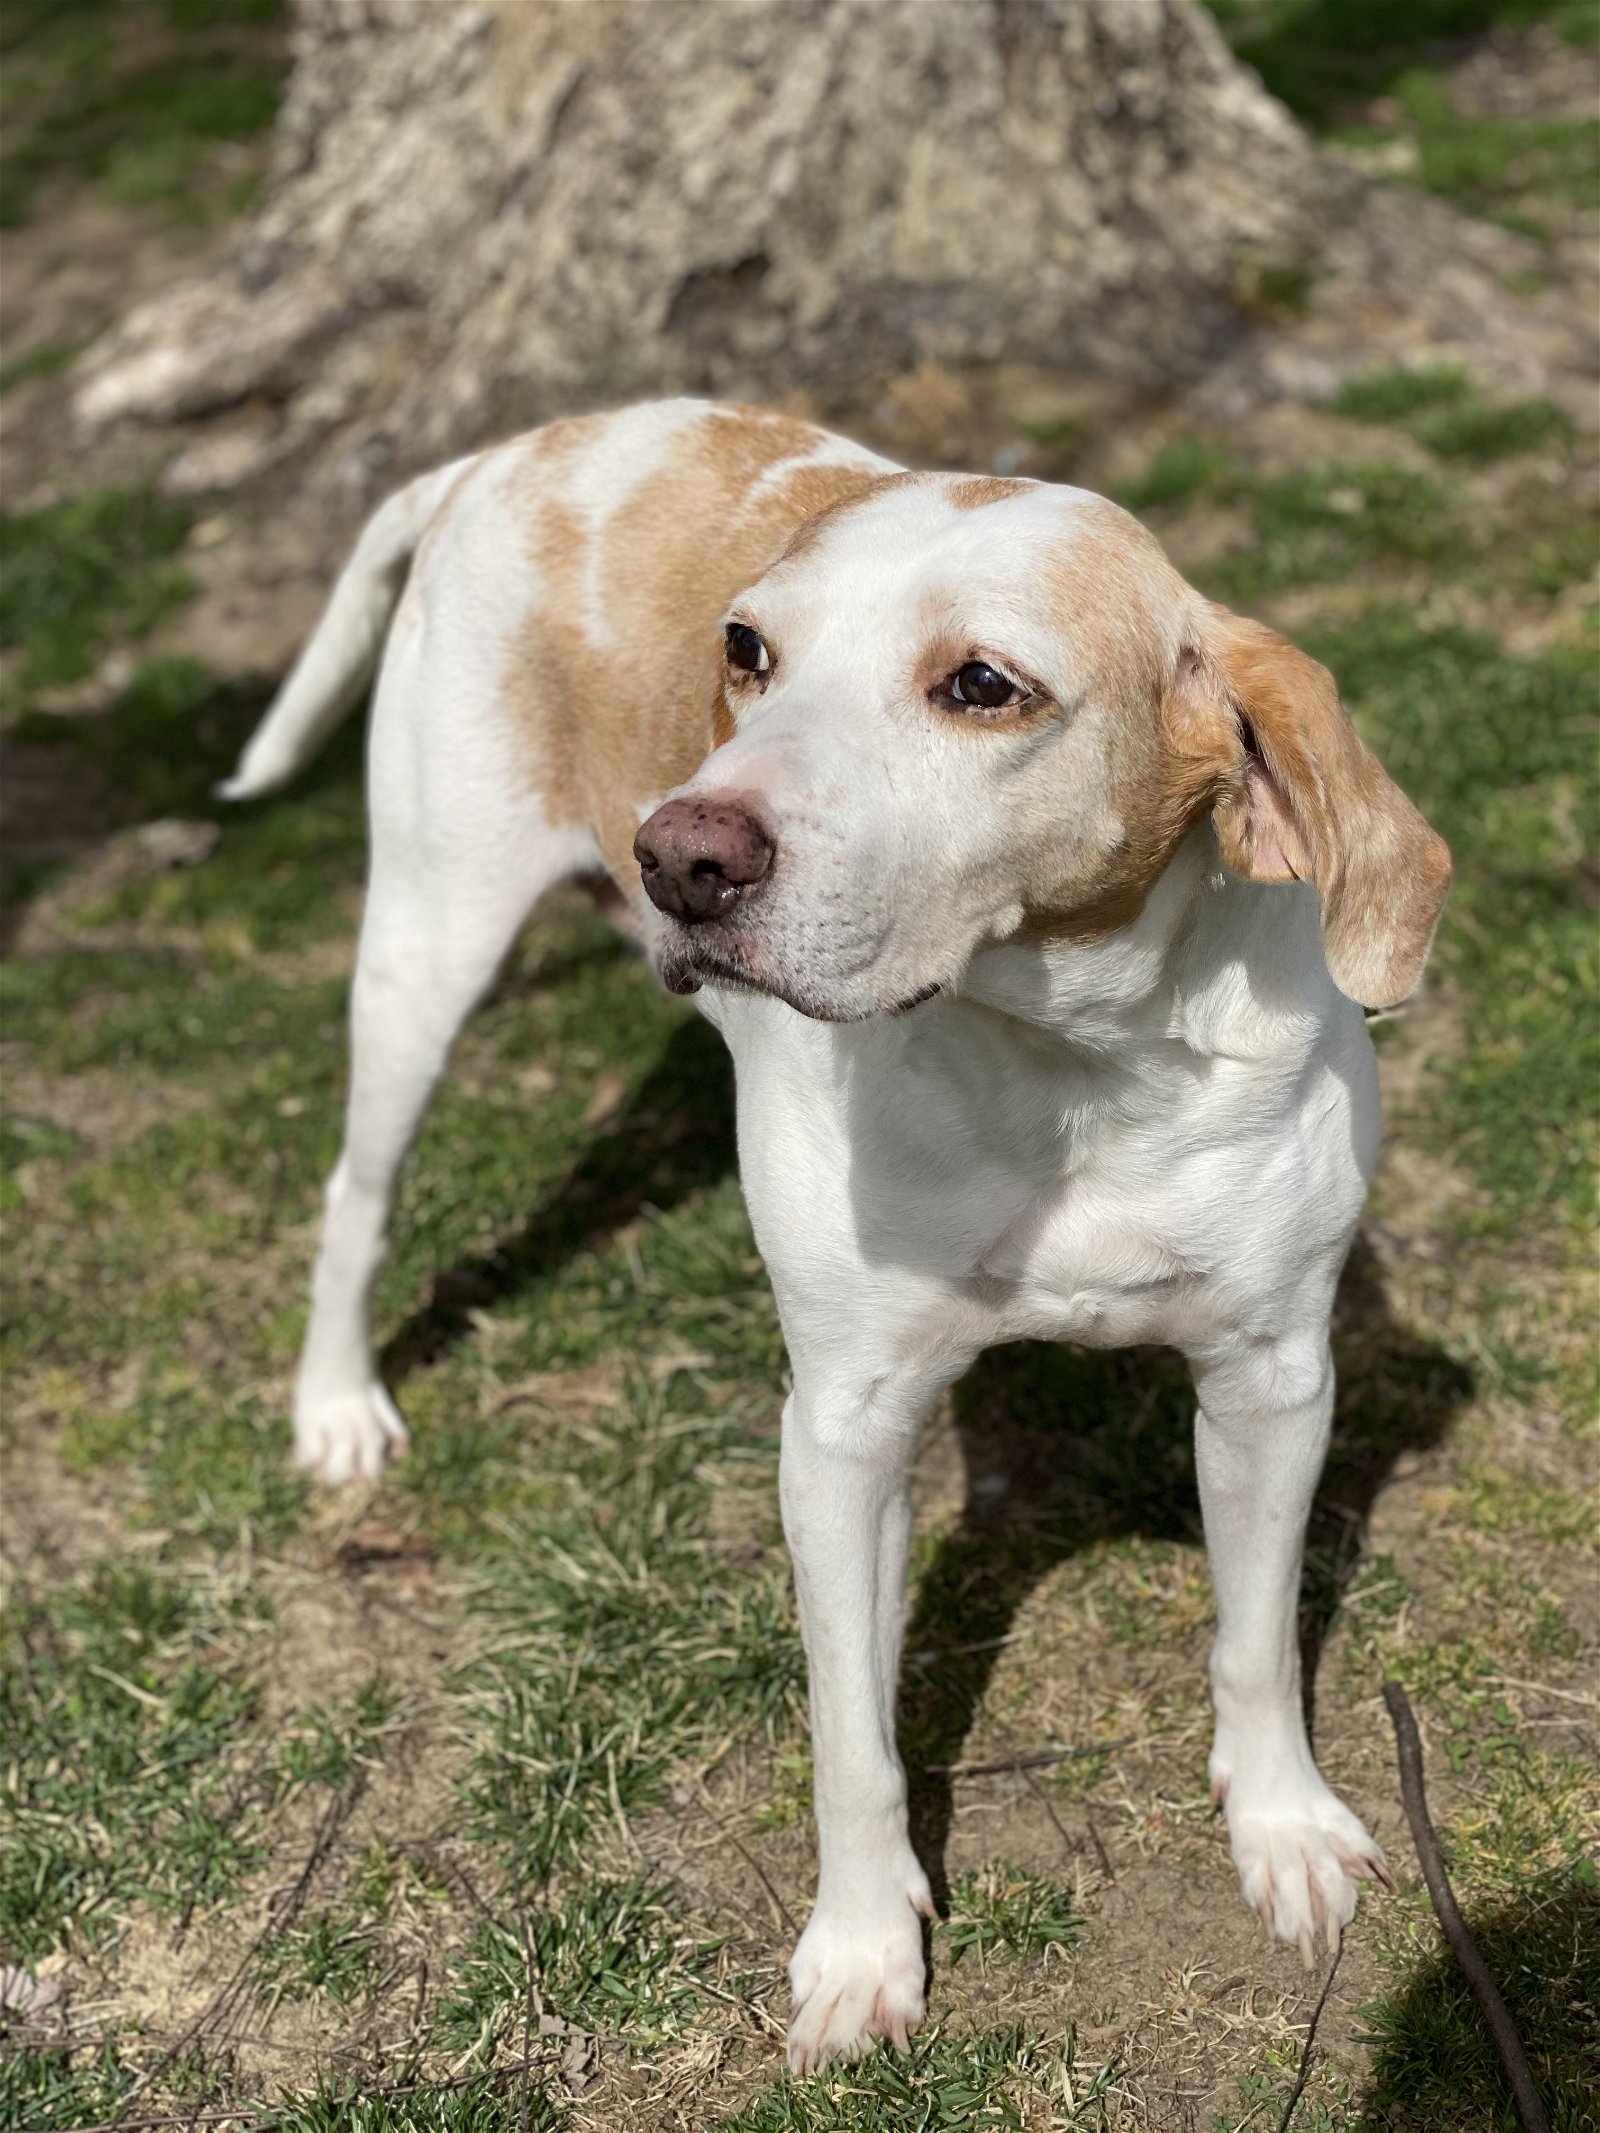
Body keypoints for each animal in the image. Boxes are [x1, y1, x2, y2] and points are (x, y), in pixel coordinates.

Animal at [222, 396, 1450, 2064]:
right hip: (426, 949)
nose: (680, 853)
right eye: (749, 651)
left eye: (982, 686)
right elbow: (851, 1739)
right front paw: (865, 1949)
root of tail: (522, 442)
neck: (1068, 1074)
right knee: (356, 1199)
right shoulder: (846, 1437)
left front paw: (1283, 1829)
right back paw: (339, 1404)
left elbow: (1256, 1642)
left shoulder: (1273, 1382)